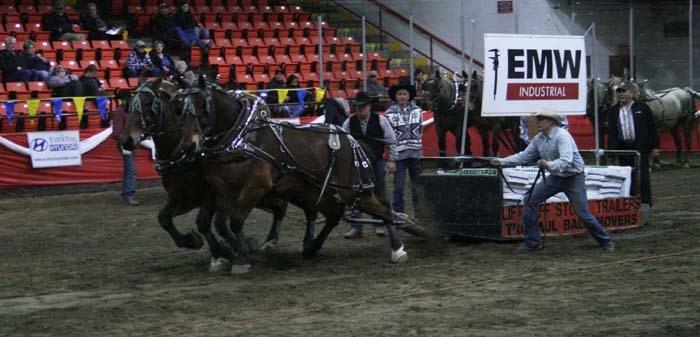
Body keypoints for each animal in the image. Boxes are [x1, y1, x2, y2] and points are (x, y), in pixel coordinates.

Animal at [120, 79, 292, 270]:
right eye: (129, 103)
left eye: (148, 103)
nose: (126, 140)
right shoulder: (182, 198)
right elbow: (164, 218)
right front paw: (191, 241)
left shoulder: (211, 195)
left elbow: (203, 223)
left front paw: (222, 253)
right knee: (277, 205)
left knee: (279, 205)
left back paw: (267, 242)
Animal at [175, 77, 416, 272]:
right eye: (180, 108)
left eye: (202, 106)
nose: (188, 146)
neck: (242, 138)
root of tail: (354, 141)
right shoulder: (224, 189)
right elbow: (220, 224)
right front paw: (233, 253)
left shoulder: (255, 186)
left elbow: (235, 221)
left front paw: (241, 258)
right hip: (315, 191)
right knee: (335, 213)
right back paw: (311, 248)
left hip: (353, 191)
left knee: (383, 210)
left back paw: (398, 250)